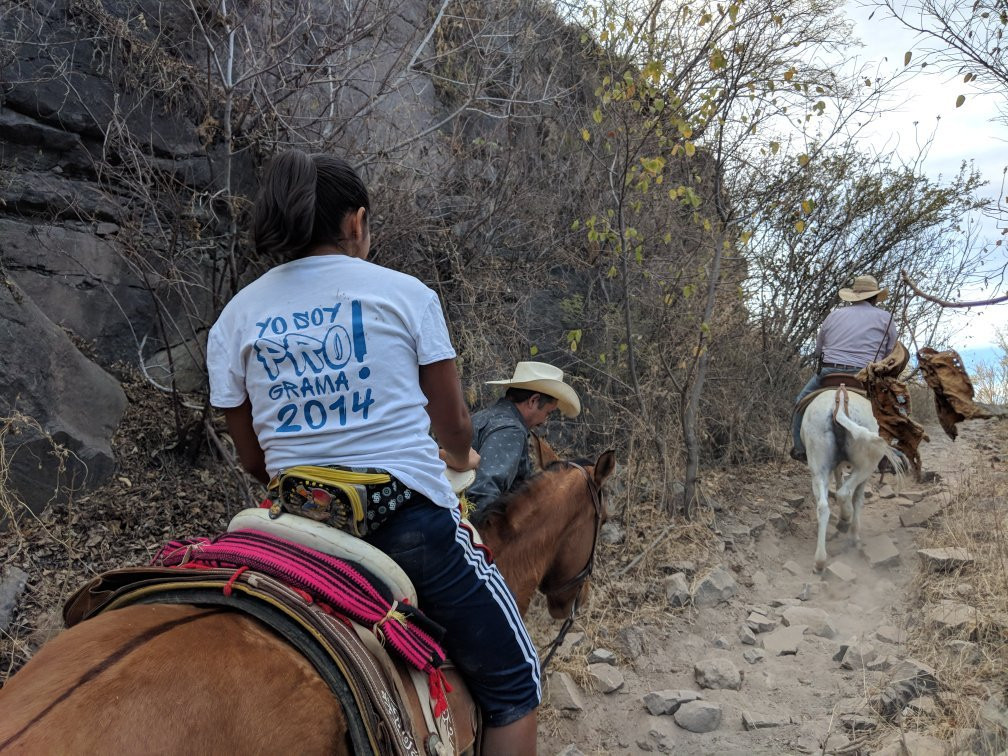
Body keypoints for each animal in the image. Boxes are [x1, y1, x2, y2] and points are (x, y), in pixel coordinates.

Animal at [802, 387, 907, 572]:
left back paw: (820, 561)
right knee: (845, 493)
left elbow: (839, 479)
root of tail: (839, 403)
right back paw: (845, 521)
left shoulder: (837, 465)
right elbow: (858, 498)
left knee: (823, 506)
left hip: (818, 467)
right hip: (867, 465)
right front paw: (855, 535)